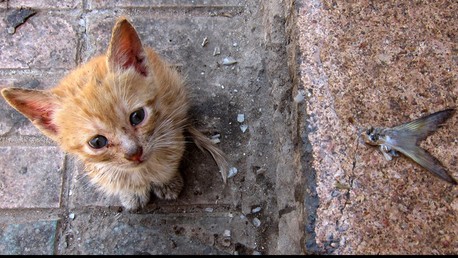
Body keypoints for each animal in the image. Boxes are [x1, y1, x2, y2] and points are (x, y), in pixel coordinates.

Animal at [1, 17, 227, 211]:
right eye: (97, 142)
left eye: (137, 117)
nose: (134, 153)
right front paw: (132, 193)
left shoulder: (170, 130)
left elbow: (170, 159)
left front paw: (167, 182)